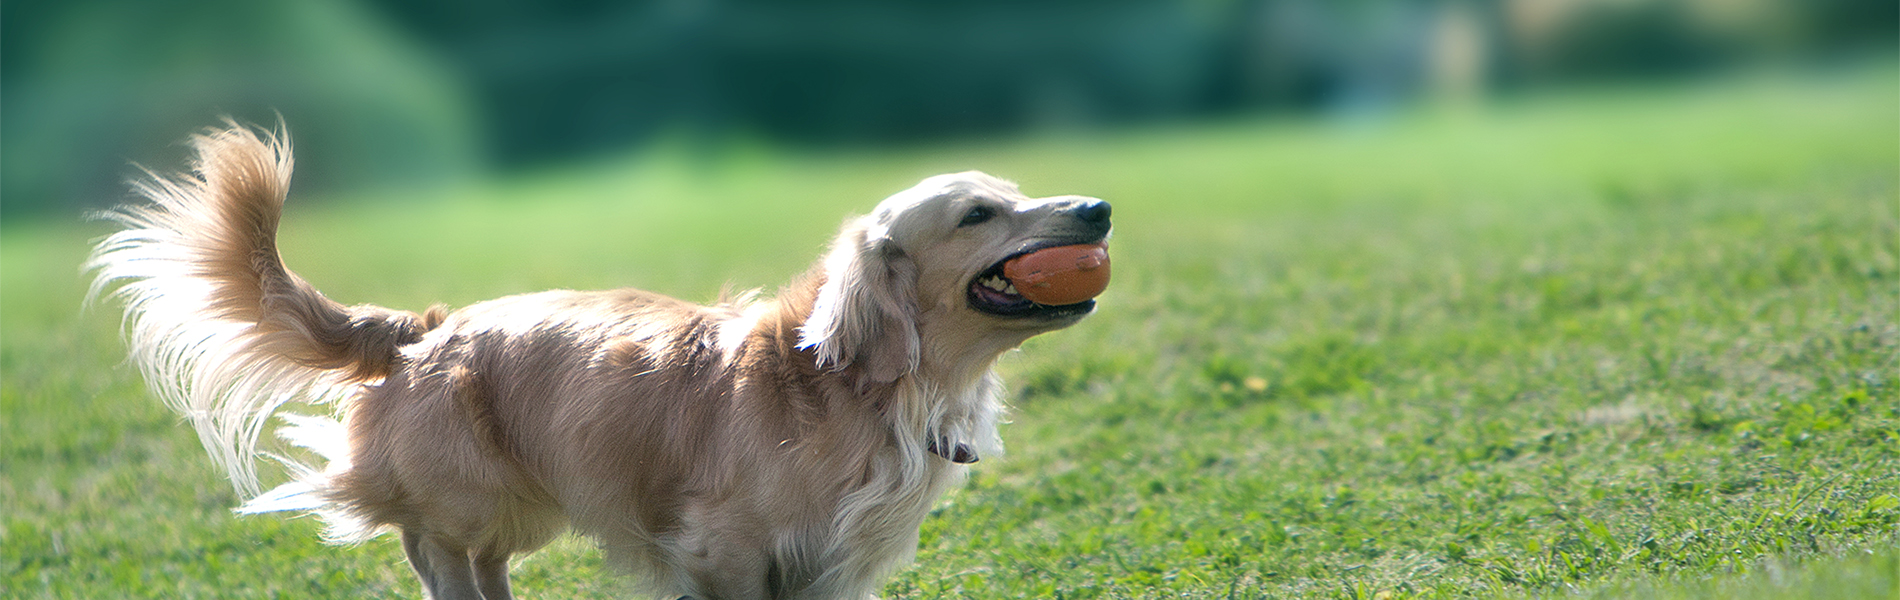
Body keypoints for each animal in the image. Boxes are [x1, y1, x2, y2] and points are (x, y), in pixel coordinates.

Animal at [85, 124, 1109, 596]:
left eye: (1017, 191)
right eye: (978, 213)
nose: (1098, 208)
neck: (851, 388)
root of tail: (424, 331)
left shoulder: (831, 567)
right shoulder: (726, 549)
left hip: (523, 506)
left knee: (480, 563)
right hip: (465, 495)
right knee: (434, 550)